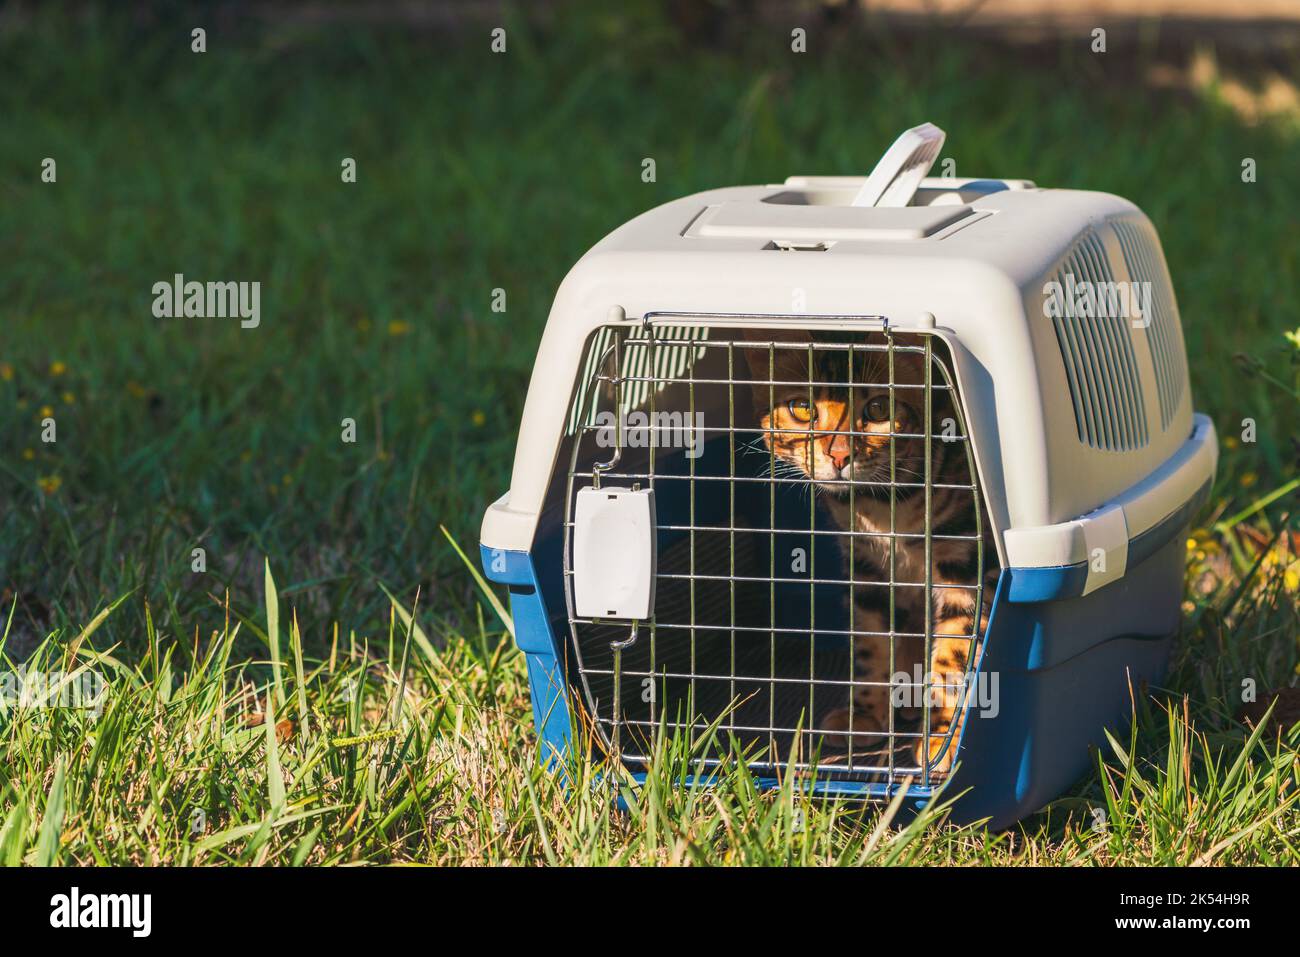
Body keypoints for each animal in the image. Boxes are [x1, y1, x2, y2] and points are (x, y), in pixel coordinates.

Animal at [743, 330, 993, 780]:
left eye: (878, 408)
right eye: (802, 407)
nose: (839, 455)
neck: (885, 504)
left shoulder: (965, 563)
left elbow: (955, 655)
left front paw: (942, 738)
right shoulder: (866, 567)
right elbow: (872, 642)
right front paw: (865, 715)